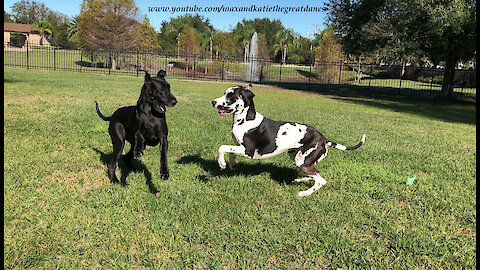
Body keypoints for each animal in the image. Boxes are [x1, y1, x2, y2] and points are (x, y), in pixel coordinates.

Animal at [212, 86, 366, 196]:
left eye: (230, 96)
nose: (213, 102)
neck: (245, 120)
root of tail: (324, 139)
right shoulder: (238, 147)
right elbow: (230, 152)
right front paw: (230, 164)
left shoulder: (248, 151)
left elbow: (222, 147)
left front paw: (221, 163)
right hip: (299, 157)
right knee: (317, 174)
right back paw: (300, 180)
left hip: (302, 161)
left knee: (321, 180)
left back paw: (304, 193)